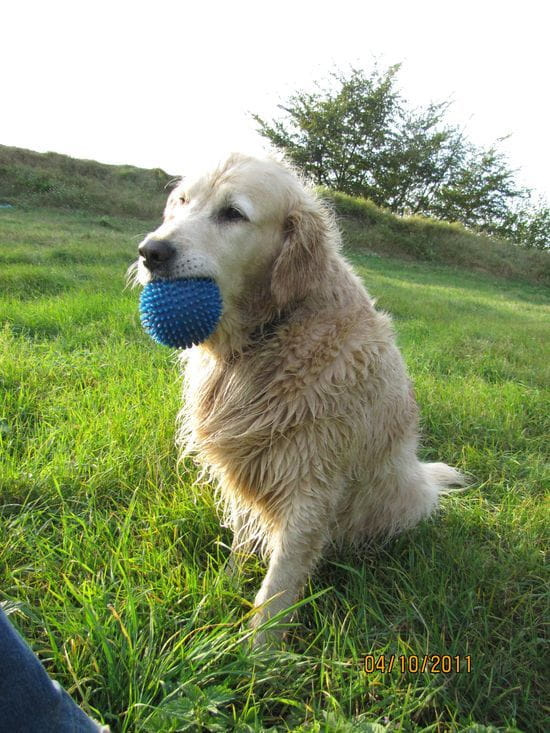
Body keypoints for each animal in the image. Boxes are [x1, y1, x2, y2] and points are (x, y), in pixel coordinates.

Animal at [134, 152, 466, 644]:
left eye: (233, 213)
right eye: (182, 202)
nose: (151, 251)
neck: (273, 331)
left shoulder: (311, 484)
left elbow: (278, 585)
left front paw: (256, 653)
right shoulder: (249, 463)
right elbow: (242, 537)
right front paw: (225, 586)